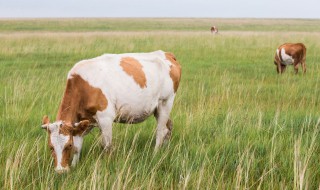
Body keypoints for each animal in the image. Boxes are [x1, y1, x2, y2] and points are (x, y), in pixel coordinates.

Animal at [39, 50, 182, 174]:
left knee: (161, 131)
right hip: (157, 108)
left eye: (68, 145)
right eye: (50, 147)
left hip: (166, 102)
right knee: (168, 126)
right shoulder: (82, 122)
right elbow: (78, 147)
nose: (60, 171)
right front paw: (74, 166)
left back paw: (155, 154)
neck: (82, 86)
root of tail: (166, 54)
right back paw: (165, 149)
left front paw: (107, 164)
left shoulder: (105, 118)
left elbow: (106, 145)